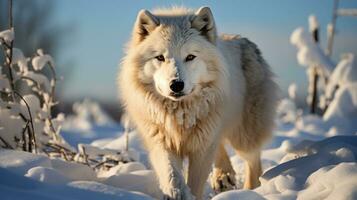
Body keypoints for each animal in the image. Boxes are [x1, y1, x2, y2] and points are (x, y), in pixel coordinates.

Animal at [118, 6, 276, 200]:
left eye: (190, 57)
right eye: (160, 58)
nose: (176, 85)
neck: (180, 115)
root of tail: (245, 40)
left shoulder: (202, 147)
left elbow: (195, 183)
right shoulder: (162, 141)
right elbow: (172, 175)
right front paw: (176, 193)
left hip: (243, 136)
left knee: (254, 163)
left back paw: (248, 191)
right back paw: (223, 176)